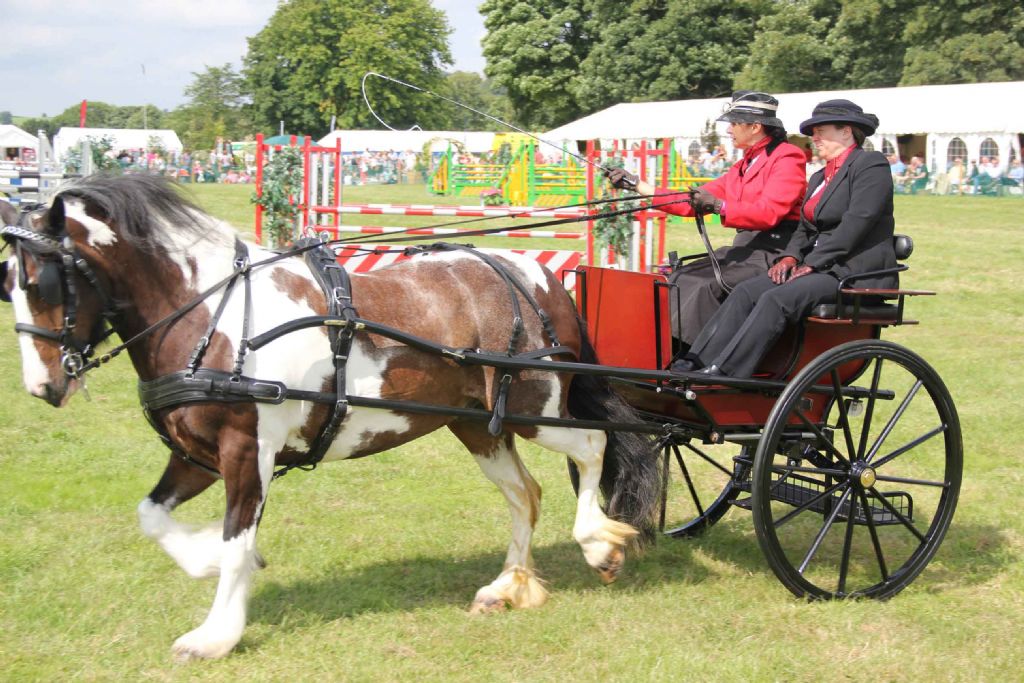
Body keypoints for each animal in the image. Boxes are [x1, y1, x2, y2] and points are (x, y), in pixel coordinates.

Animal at [0, 176, 659, 663]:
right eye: (9, 285)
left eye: (44, 281)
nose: (42, 386)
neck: (214, 314)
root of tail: (543, 278)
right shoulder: (195, 455)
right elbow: (152, 516)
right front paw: (205, 561)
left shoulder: (247, 452)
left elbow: (238, 540)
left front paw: (216, 634)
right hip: (478, 424)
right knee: (525, 493)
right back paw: (508, 586)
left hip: (534, 408)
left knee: (594, 447)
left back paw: (599, 543)